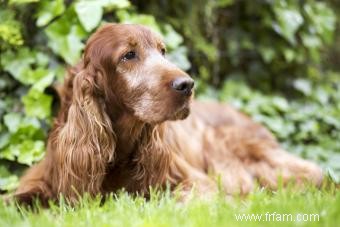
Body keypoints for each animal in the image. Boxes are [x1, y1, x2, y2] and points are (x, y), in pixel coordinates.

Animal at [13, 23, 322, 206]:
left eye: (162, 51)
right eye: (128, 55)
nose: (187, 85)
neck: (119, 149)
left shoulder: (195, 182)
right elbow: (18, 200)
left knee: (311, 175)